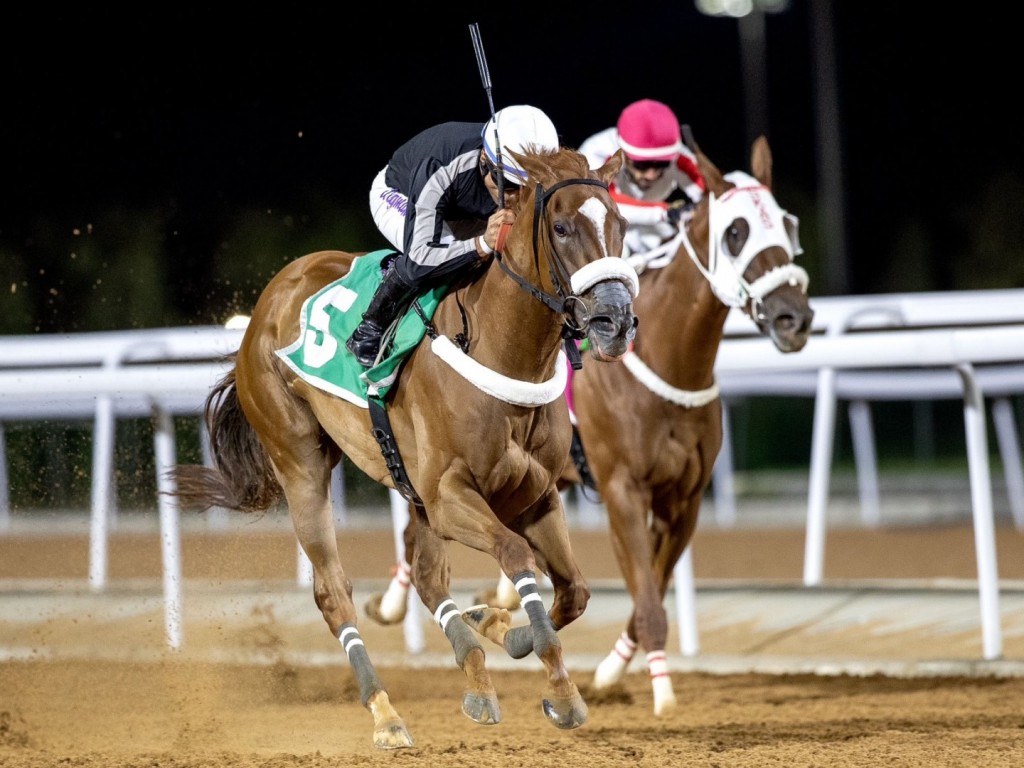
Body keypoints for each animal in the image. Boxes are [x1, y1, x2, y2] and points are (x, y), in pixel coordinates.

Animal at [168, 145, 638, 753]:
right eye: (561, 227)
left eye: (620, 224)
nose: (616, 321)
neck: (503, 352)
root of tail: (270, 299)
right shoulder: (449, 495)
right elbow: (516, 555)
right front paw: (558, 689)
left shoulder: (536, 495)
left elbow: (575, 590)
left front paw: (501, 630)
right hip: (300, 461)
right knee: (333, 589)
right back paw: (386, 713)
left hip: (406, 485)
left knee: (427, 575)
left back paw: (475, 671)